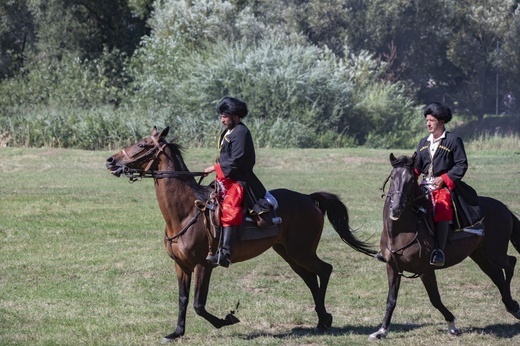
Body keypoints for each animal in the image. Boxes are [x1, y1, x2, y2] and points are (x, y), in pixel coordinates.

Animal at [105, 126, 376, 340]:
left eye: (142, 144)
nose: (110, 161)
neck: (185, 212)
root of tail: (309, 199)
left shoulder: (203, 265)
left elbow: (199, 304)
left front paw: (227, 320)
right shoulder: (181, 266)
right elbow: (183, 300)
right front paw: (177, 332)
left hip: (302, 251)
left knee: (324, 270)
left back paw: (324, 318)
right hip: (289, 253)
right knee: (310, 278)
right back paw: (321, 318)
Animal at [372, 153, 520, 340]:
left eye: (411, 180)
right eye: (392, 177)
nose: (396, 208)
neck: (400, 231)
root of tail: (505, 208)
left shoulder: (425, 270)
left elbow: (435, 298)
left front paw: (452, 324)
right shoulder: (392, 267)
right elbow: (391, 300)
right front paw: (382, 331)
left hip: (495, 252)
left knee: (510, 263)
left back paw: (512, 305)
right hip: (480, 255)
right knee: (497, 275)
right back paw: (511, 305)